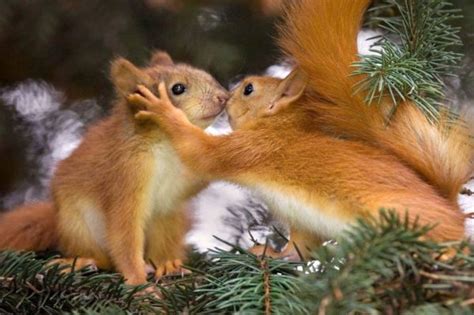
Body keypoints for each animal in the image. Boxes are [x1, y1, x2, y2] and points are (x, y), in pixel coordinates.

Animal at [0, 50, 230, 286]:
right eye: (178, 88)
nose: (224, 97)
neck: (166, 144)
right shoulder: (126, 175)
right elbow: (124, 233)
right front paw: (139, 284)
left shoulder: (181, 180)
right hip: (77, 224)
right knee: (104, 258)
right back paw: (82, 262)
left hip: (171, 218)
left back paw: (168, 265)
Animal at [128, 0, 472, 256]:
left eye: (249, 89)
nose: (225, 97)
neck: (279, 127)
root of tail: (451, 209)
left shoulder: (250, 148)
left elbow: (200, 152)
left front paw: (163, 110)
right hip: (307, 222)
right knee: (300, 249)